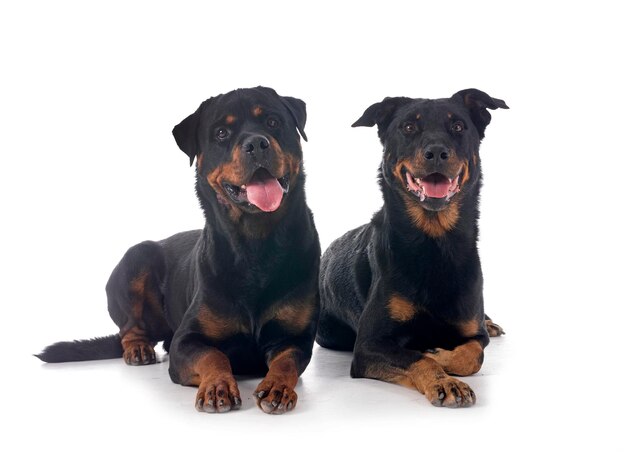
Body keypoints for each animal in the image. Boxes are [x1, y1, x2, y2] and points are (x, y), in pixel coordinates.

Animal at [37, 86, 320, 414]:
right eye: (221, 132)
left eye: (273, 122)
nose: (257, 143)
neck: (255, 244)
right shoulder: (186, 340)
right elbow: (213, 355)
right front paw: (218, 386)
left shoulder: (295, 338)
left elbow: (287, 362)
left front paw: (277, 387)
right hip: (136, 258)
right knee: (128, 329)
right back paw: (138, 348)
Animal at [316, 90, 508, 408]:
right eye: (408, 127)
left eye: (458, 126)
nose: (437, 152)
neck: (434, 244)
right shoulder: (370, 344)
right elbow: (417, 358)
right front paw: (444, 380)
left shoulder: (474, 333)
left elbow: (474, 354)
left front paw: (442, 355)